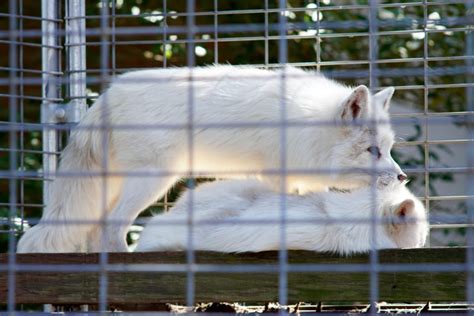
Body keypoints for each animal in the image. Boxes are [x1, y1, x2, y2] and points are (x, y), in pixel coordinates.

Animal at [16, 65, 406, 253]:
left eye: (388, 149)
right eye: (372, 151)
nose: (403, 178)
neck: (306, 124)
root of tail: (106, 97)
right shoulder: (275, 172)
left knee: (98, 227)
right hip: (154, 181)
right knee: (110, 227)